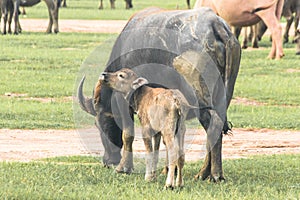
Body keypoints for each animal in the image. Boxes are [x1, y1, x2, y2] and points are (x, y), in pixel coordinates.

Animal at [78, 7, 241, 181]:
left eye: (98, 124)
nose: (108, 161)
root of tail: (216, 25)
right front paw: (168, 169)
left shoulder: (124, 102)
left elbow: (128, 134)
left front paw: (124, 167)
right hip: (223, 97)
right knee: (216, 128)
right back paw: (203, 173)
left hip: (200, 97)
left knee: (213, 124)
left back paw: (215, 174)